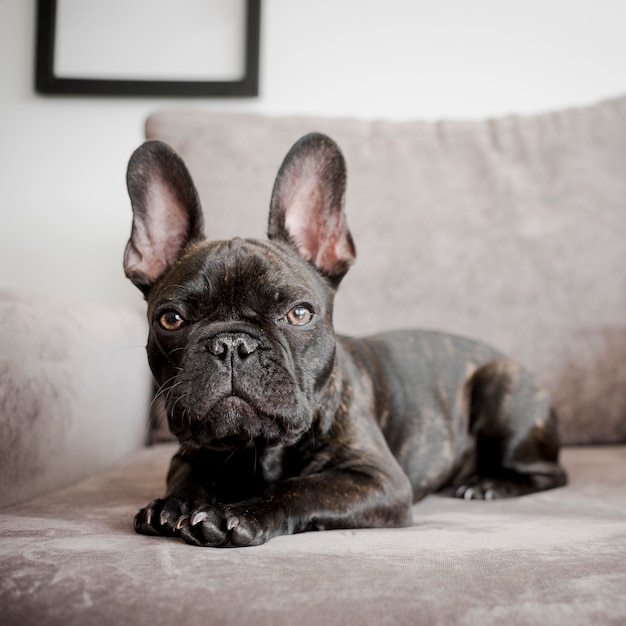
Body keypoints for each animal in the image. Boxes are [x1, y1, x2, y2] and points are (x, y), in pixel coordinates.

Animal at [123, 133, 564, 544]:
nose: (232, 344)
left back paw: (488, 484)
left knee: (551, 473)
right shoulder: (187, 456)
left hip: (502, 390)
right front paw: (171, 506)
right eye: (171, 319)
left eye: (299, 314)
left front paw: (237, 513)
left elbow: (301, 488)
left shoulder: (377, 479)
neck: (254, 448)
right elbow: (189, 477)